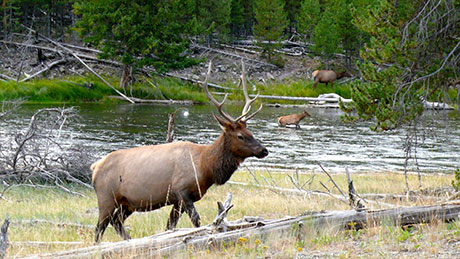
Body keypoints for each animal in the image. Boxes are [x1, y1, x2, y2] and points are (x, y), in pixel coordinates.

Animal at [90, 60, 268, 243]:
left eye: (250, 132)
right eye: (240, 136)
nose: (264, 150)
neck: (205, 167)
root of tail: (94, 167)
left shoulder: (178, 200)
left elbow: (170, 227)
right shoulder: (182, 191)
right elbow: (197, 221)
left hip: (127, 203)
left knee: (116, 222)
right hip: (106, 198)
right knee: (99, 228)